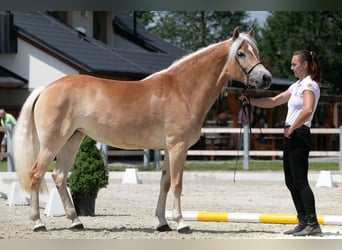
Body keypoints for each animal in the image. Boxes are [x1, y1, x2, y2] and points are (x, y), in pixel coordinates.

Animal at [12, 26, 272, 232]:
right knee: (36, 174)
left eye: (257, 52)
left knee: (59, 175)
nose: (266, 78)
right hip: (52, 143)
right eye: (241, 53)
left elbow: (165, 183)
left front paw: (163, 223)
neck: (182, 89)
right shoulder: (178, 146)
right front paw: (181, 223)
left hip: (72, 140)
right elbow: (177, 183)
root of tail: (46, 88)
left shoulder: (168, 148)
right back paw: (38, 223)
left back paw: (76, 221)